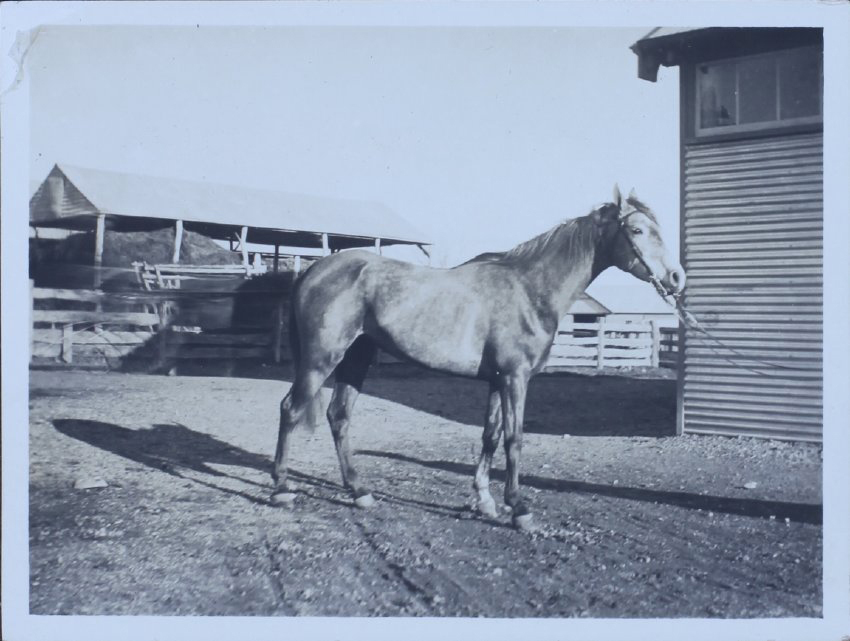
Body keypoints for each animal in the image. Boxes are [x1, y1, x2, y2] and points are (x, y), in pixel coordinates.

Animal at [271, 186, 685, 530]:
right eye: (637, 231)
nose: (677, 278)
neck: (529, 289)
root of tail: (314, 268)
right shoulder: (515, 378)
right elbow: (514, 439)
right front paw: (519, 508)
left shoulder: (497, 380)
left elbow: (491, 434)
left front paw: (485, 500)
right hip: (321, 359)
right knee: (291, 409)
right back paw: (281, 489)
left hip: (356, 358)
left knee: (339, 416)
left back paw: (359, 492)